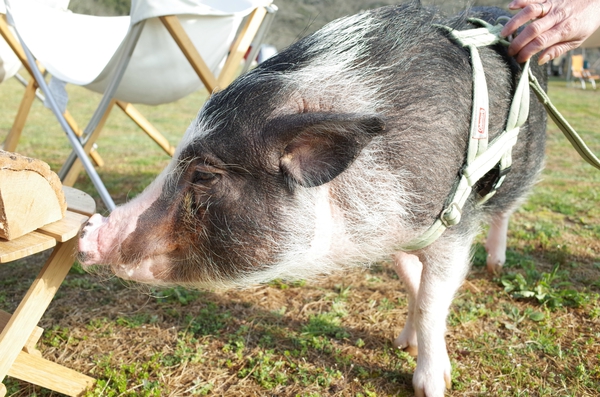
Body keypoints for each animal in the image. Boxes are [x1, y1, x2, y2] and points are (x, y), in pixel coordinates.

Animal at [79, 3, 548, 396]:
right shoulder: (398, 230)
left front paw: (431, 385)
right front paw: (404, 344)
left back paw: (496, 264)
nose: (88, 233)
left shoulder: (453, 223)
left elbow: (435, 300)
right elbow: (413, 281)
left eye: (205, 174)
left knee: (505, 212)